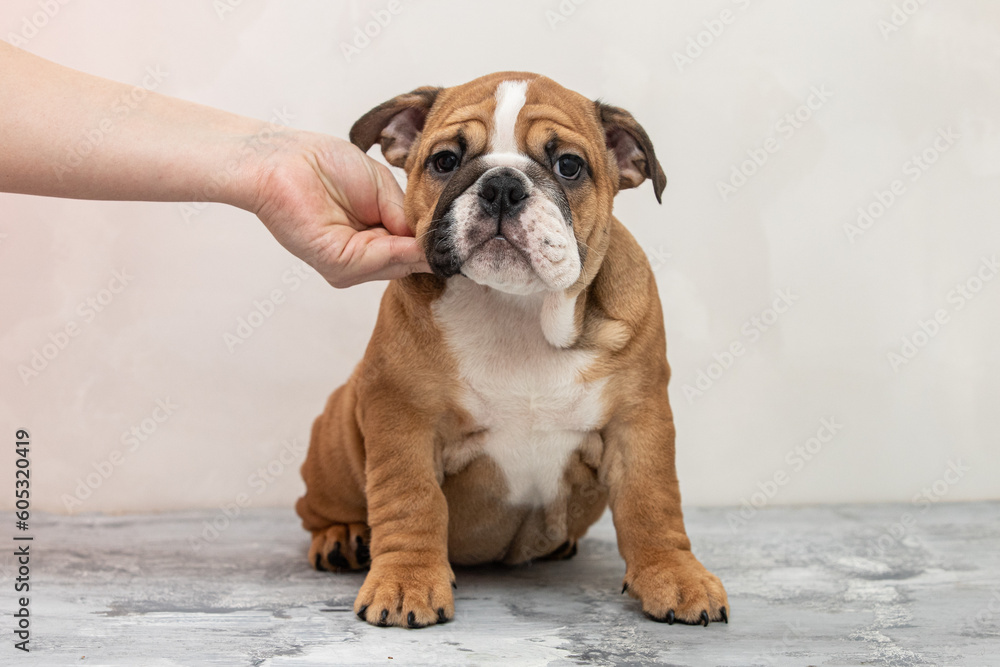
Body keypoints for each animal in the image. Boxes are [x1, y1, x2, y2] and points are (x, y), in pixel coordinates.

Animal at [294, 70, 728, 628]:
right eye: (445, 161)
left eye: (569, 166)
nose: (502, 185)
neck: (518, 309)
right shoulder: (402, 416)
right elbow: (411, 501)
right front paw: (406, 582)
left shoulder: (639, 419)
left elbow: (653, 501)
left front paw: (676, 575)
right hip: (334, 438)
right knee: (319, 509)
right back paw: (341, 537)